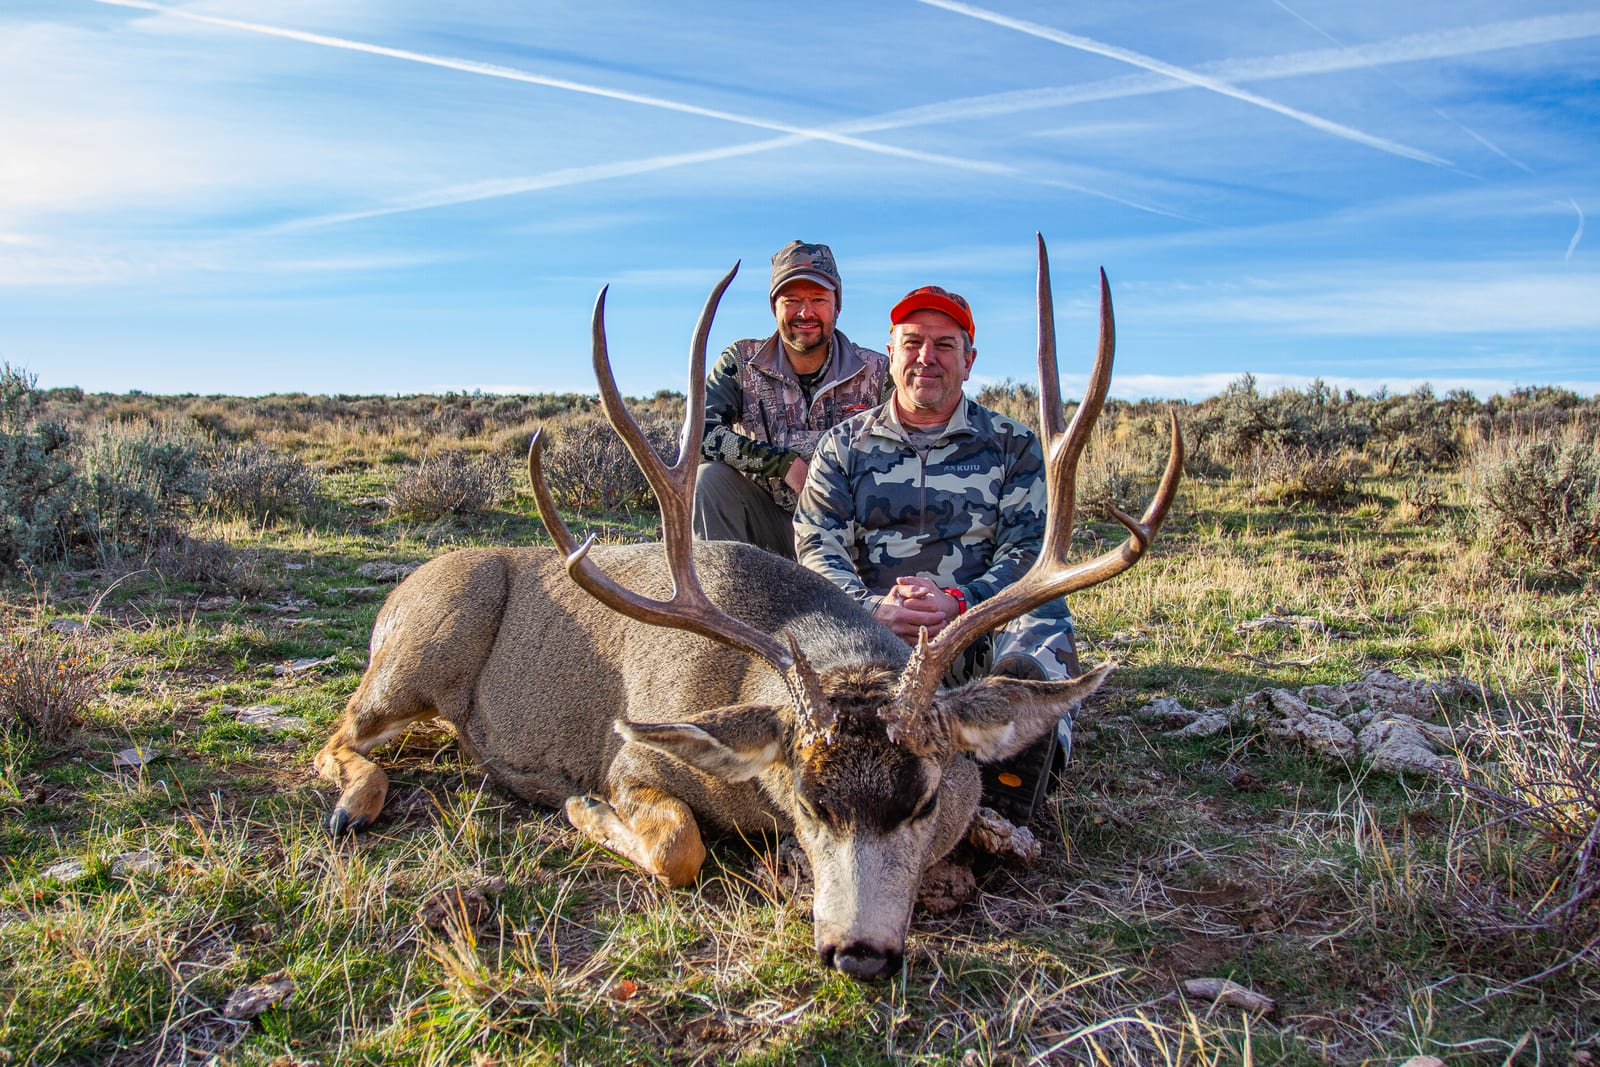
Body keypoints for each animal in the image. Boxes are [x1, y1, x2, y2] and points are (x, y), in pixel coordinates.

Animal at [315, 235, 1182, 981]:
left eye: (927, 799)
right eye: (806, 801)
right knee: (340, 731)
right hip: (426, 644)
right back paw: (354, 805)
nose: (858, 952)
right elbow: (678, 848)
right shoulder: (633, 757)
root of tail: (401, 591)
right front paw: (581, 806)